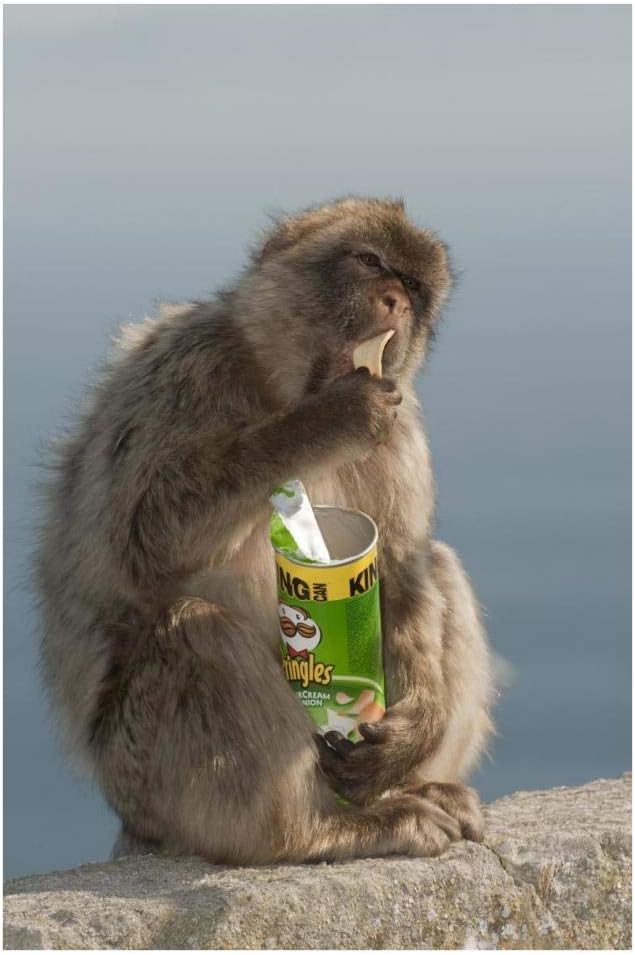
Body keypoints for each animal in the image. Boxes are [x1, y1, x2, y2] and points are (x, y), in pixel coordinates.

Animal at [35, 196, 494, 864]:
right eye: (369, 261)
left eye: (414, 287)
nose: (396, 303)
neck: (277, 387)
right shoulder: (186, 369)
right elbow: (145, 539)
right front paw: (327, 421)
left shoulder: (401, 429)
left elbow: (399, 570)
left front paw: (412, 734)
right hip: (144, 774)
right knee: (197, 628)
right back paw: (317, 832)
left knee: (438, 564)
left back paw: (412, 787)